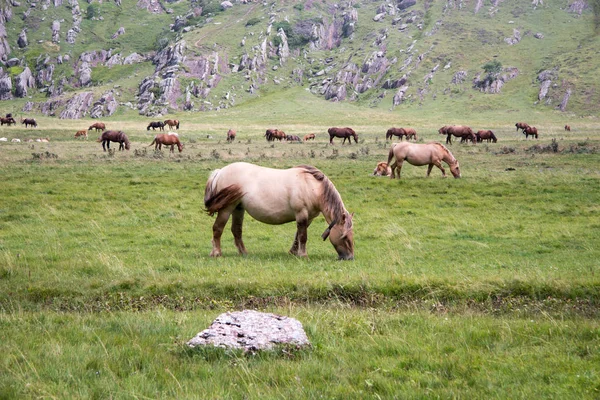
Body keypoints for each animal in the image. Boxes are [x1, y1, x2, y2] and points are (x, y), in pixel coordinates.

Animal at [204, 162, 354, 260]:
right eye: (344, 237)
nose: (350, 257)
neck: (311, 186)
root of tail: (220, 171)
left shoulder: (308, 218)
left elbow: (298, 236)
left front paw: (293, 252)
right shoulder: (301, 214)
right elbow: (303, 236)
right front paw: (303, 255)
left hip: (238, 208)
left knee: (236, 230)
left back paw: (243, 253)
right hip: (227, 208)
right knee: (217, 228)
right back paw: (216, 253)